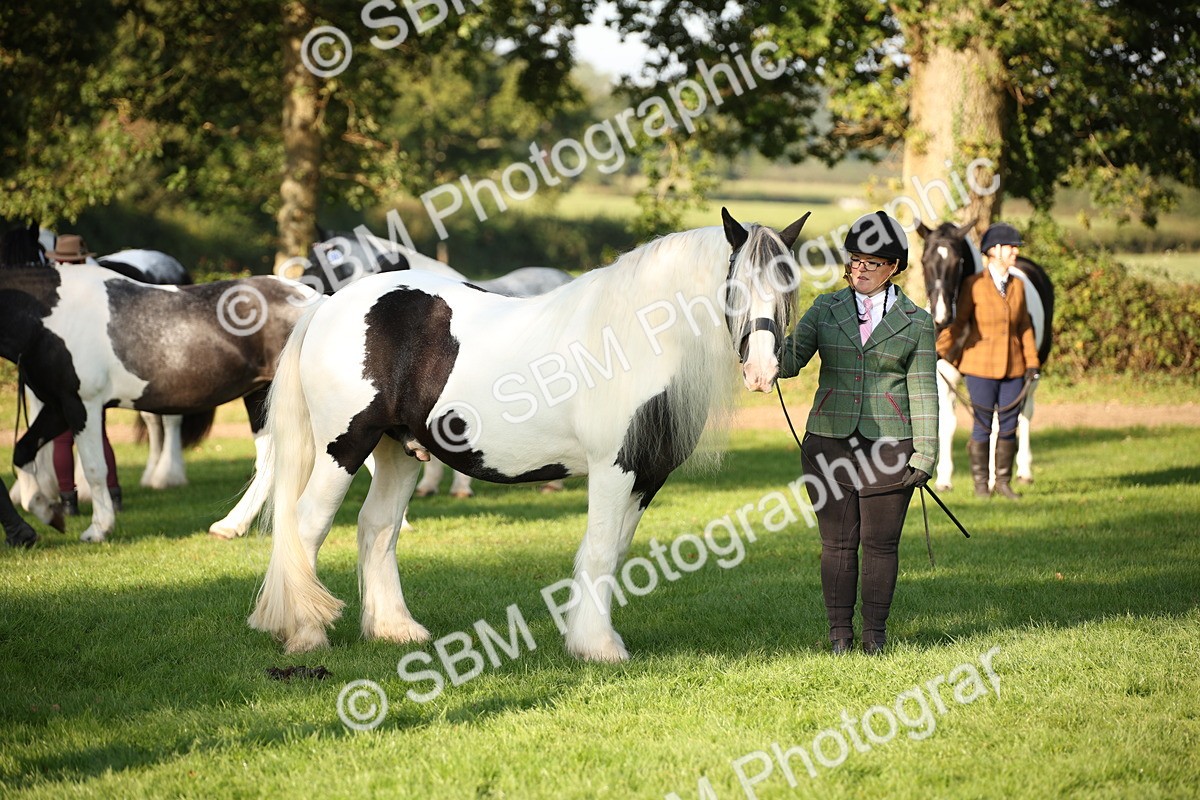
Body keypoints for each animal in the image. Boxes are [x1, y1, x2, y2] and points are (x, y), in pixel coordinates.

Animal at [0, 263, 320, 542]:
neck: (50, 318)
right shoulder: (58, 407)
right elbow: (22, 451)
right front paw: (46, 510)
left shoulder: (82, 405)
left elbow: (94, 469)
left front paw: (98, 529)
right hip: (259, 397)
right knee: (270, 463)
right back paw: (229, 526)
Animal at [248, 208, 808, 660]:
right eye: (735, 288)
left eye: (787, 289)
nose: (764, 372)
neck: (634, 341)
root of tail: (331, 304)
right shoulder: (613, 468)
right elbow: (598, 549)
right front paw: (597, 648)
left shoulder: (647, 477)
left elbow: (615, 552)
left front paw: (593, 638)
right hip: (343, 447)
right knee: (307, 524)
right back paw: (305, 634)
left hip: (400, 451)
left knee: (377, 527)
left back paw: (395, 630)